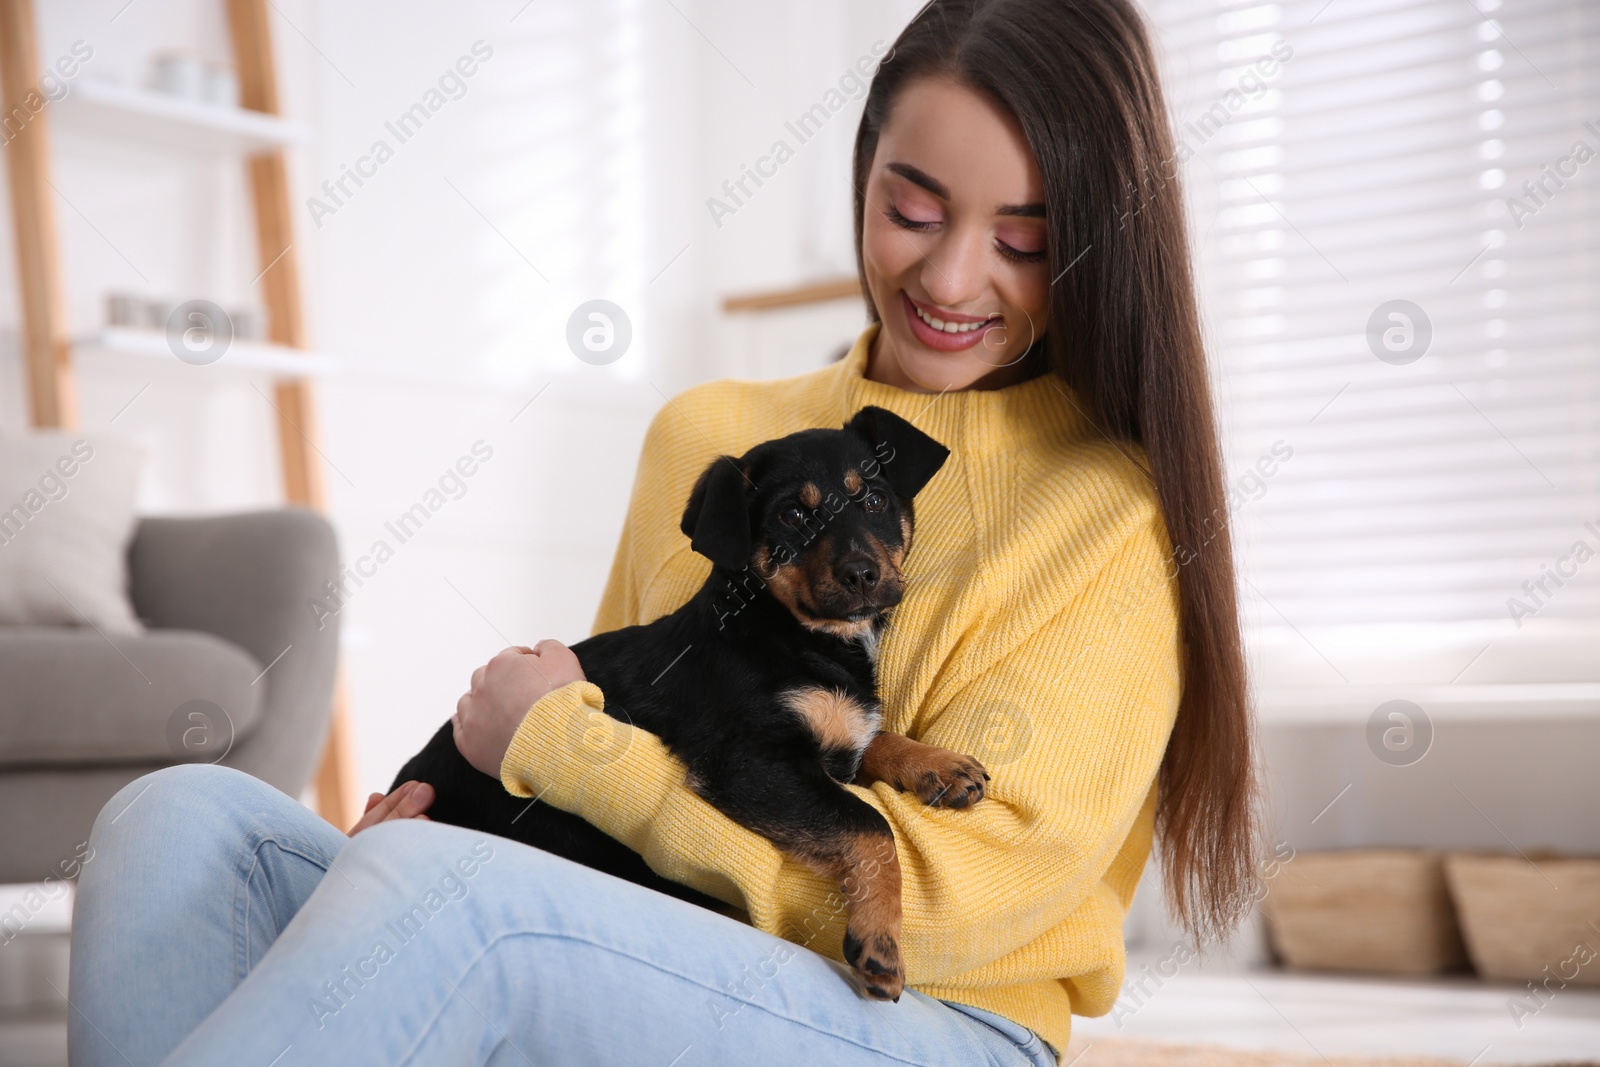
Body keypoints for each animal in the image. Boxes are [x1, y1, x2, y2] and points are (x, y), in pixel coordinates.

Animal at [390, 406, 985, 1004]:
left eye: (876, 500)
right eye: (793, 514)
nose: (862, 574)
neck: (789, 631)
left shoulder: (827, 746)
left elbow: (874, 737)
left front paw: (940, 765)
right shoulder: (750, 762)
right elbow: (871, 825)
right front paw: (881, 941)